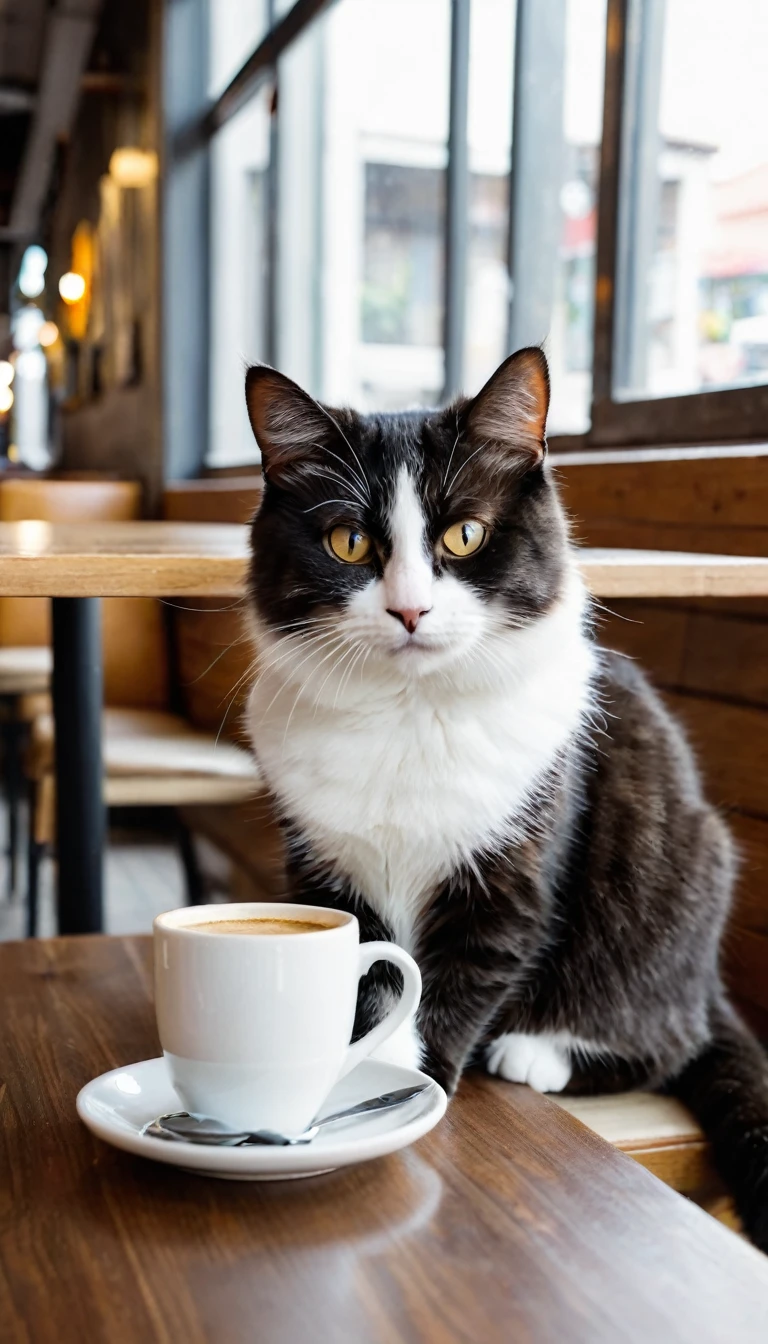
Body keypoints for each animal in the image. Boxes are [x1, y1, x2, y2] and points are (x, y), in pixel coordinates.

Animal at [243, 349, 768, 1247]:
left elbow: (454, 984)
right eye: (348, 541)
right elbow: (368, 981)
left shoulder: (509, 873)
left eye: (465, 535)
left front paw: (402, 1086)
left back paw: (540, 1052)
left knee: (669, 1036)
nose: (409, 609)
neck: (406, 713)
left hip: (677, 876)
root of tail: (709, 985)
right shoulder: (325, 869)